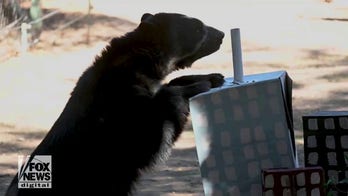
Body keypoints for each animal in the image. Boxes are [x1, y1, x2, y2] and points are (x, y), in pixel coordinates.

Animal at [6, 12, 226, 196]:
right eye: (199, 28)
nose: (222, 34)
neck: (142, 65)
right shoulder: (118, 111)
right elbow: (151, 136)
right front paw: (199, 85)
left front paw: (214, 77)